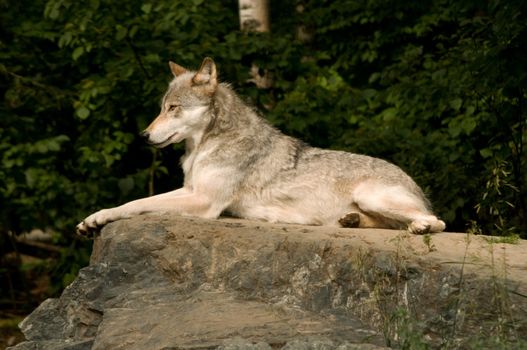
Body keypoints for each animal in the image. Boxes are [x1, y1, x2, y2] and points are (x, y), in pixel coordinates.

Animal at [75, 57, 446, 237]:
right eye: (161, 108)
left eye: (173, 108)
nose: (143, 135)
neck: (204, 148)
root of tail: (414, 182)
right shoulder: (191, 190)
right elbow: (137, 201)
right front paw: (91, 220)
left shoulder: (203, 201)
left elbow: (137, 203)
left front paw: (98, 218)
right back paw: (351, 222)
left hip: (374, 197)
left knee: (436, 220)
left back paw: (420, 227)